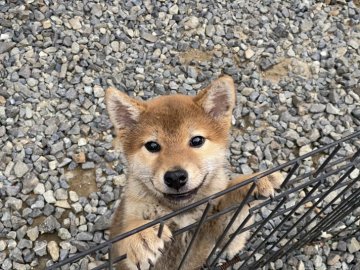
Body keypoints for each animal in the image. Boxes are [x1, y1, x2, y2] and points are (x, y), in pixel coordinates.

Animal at [104, 76, 282, 270]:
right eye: (152, 146)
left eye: (197, 140)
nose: (175, 177)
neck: (181, 213)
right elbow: (131, 231)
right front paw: (140, 235)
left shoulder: (221, 234)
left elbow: (232, 203)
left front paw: (254, 180)